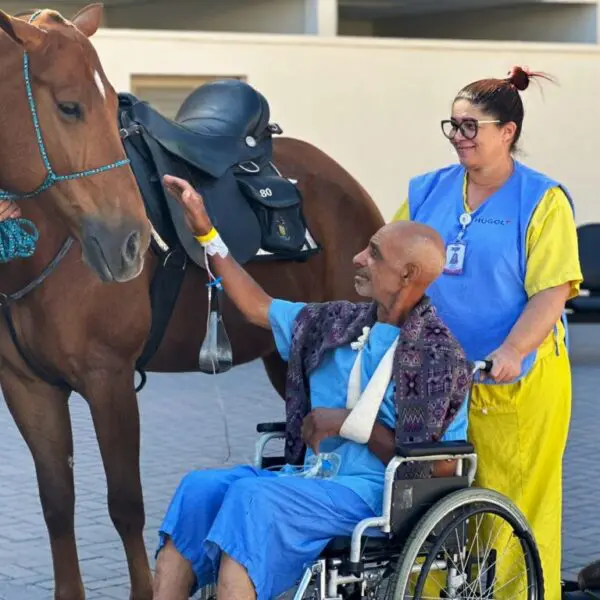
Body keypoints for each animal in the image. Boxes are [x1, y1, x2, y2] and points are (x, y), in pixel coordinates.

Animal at [0, 4, 384, 600]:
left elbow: (125, 506)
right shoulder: (28, 388)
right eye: (68, 105)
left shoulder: (108, 379)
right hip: (286, 357)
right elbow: (57, 504)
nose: (131, 243)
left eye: (108, 107)